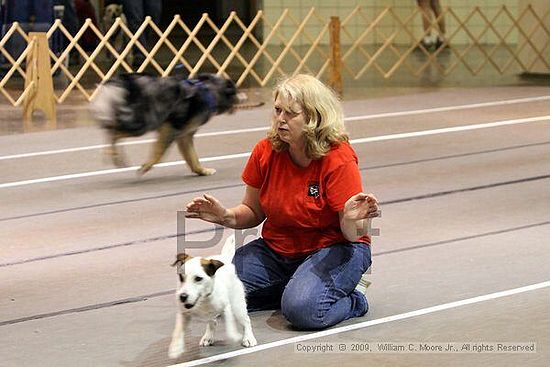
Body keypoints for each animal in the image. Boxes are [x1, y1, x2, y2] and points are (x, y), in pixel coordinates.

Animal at [90, 73, 242, 175]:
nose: (242, 97)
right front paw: (146, 166)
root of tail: (122, 80)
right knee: (114, 131)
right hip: (144, 123)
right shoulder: (170, 129)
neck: (210, 91)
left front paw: (201, 171)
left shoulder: (184, 136)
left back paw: (114, 156)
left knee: (111, 129)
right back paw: (114, 155)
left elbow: (192, 157)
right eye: (235, 92)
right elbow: (159, 154)